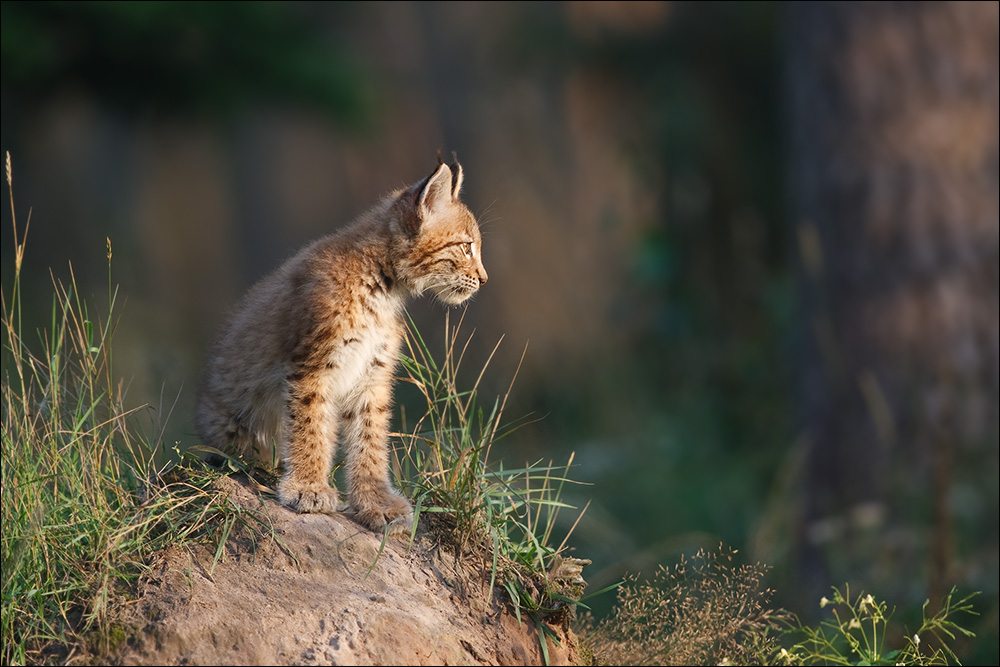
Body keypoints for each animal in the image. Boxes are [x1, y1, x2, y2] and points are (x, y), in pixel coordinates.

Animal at [193, 159, 486, 536]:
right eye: (466, 247)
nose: (483, 280)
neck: (384, 287)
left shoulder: (372, 372)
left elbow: (371, 438)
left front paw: (376, 502)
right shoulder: (312, 364)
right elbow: (310, 425)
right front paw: (308, 488)